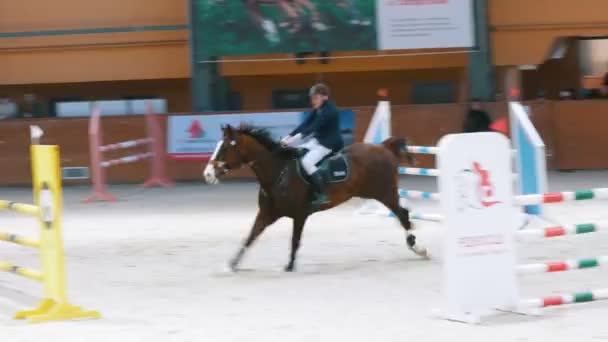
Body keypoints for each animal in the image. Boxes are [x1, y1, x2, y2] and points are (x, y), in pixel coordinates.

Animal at [202, 124, 426, 272]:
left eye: (225, 147)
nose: (208, 174)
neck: (278, 173)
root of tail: (382, 147)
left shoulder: (299, 215)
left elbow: (294, 240)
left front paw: (290, 266)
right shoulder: (266, 214)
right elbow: (250, 237)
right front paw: (232, 264)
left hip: (383, 192)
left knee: (403, 214)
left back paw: (419, 248)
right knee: (402, 214)